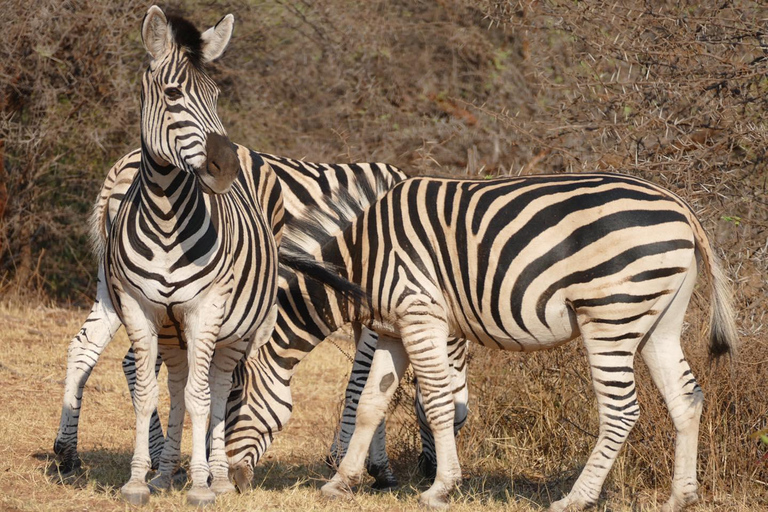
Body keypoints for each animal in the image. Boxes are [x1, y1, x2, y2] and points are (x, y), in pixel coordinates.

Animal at [99, 7, 284, 504]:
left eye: (216, 95)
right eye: (172, 93)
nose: (227, 167)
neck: (166, 217)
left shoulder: (206, 308)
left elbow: (204, 400)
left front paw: (200, 486)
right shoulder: (139, 307)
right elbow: (148, 393)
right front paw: (136, 481)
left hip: (235, 332)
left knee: (216, 392)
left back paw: (217, 477)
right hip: (170, 329)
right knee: (179, 385)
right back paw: (165, 474)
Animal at [276, 173, 736, 512]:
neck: (363, 260)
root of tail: (680, 206)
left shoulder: (421, 313)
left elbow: (438, 403)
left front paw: (440, 488)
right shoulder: (394, 330)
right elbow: (371, 403)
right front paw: (341, 482)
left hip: (611, 313)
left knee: (621, 410)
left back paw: (576, 498)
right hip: (661, 321)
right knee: (686, 398)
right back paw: (681, 497)